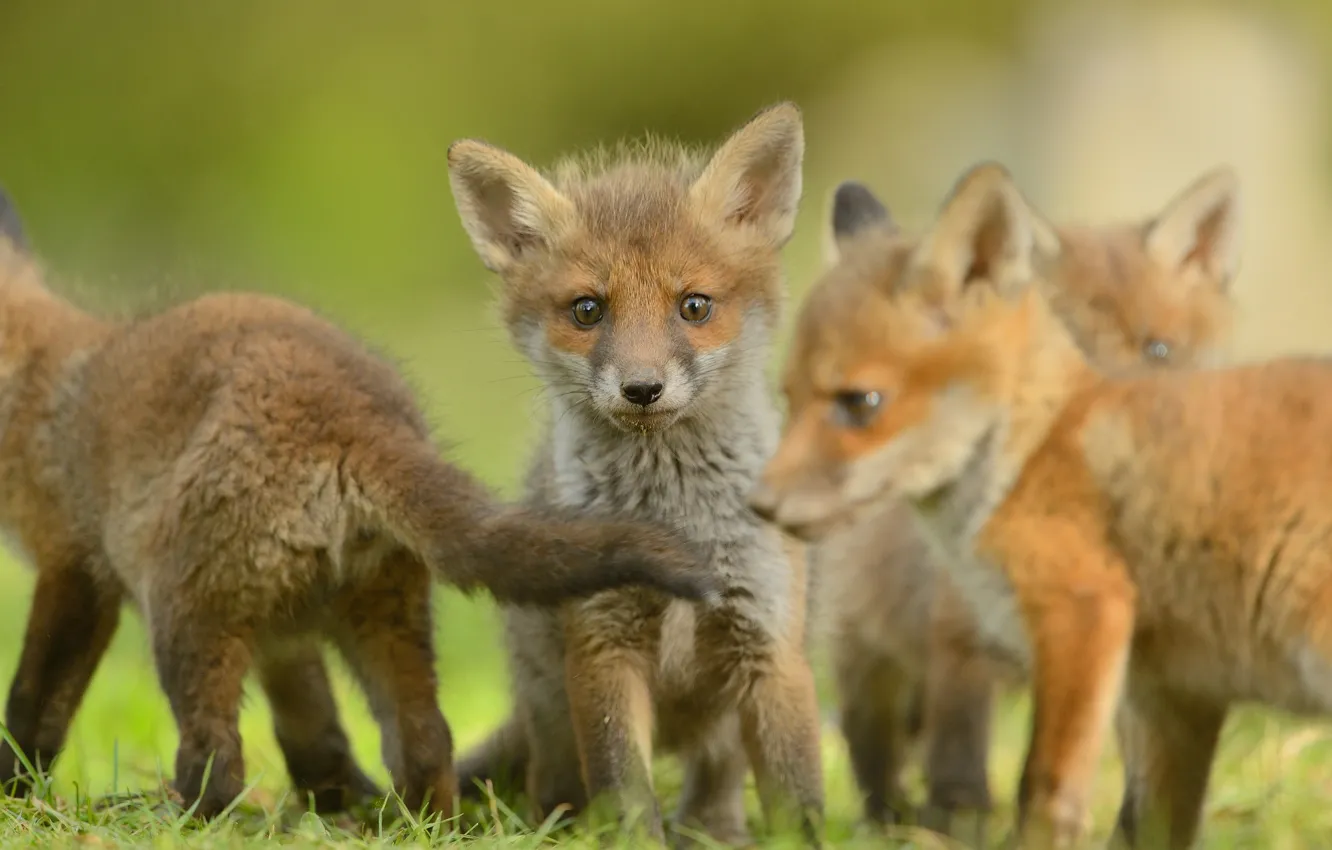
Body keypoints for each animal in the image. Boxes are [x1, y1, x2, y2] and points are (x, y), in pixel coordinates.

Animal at [0, 190, 720, 821]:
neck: (34, 388)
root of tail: (357, 419)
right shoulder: (284, 634)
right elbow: (316, 734)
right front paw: (333, 799)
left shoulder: (75, 568)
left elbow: (34, 705)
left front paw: (14, 790)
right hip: (381, 613)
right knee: (424, 737)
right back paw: (411, 825)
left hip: (183, 618)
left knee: (219, 760)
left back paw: (176, 817)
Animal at [444, 102, 824, 845]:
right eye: (588, 309)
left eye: (694, 306)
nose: (642, 388)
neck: (674, 517)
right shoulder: (602, 640)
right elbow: (624, 789)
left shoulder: (767, 640)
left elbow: (798, 801)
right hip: (549, 711)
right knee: (556, 787)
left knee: (715, 787)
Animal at [747, 159, 1332, 849]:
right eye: (790, 397)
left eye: (861, 401)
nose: (758, 502)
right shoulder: (1151, 683)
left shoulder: (1090, 620)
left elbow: (1054, 791)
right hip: (865, 649)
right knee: (876, 753)